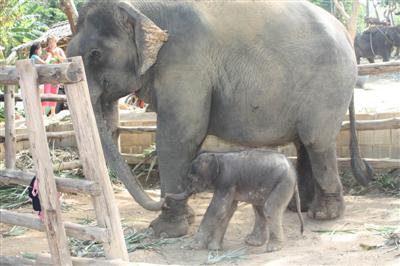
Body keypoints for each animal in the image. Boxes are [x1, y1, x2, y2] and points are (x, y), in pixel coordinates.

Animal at [68, 0, 372, 237]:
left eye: (95, 55)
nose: (165, 199)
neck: (140, 9)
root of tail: (346, 34)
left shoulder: (185, 60)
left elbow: (179, 136)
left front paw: (164, 231)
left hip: (329, 84)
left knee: (316, 140)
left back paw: (324, 215)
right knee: (303, 143)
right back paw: (297, 208)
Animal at [166, 150, 304, 251]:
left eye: (191, 178)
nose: (166, 197)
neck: (217, 156)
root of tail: (294, 172)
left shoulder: (226, 181)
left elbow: (217, 209)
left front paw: (193, 246)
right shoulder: (229, 186)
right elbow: (227, 211)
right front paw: (214, 248)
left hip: (283, 182)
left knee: (269, 209)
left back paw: (273, 248)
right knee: (259, 209)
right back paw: (253, 242)